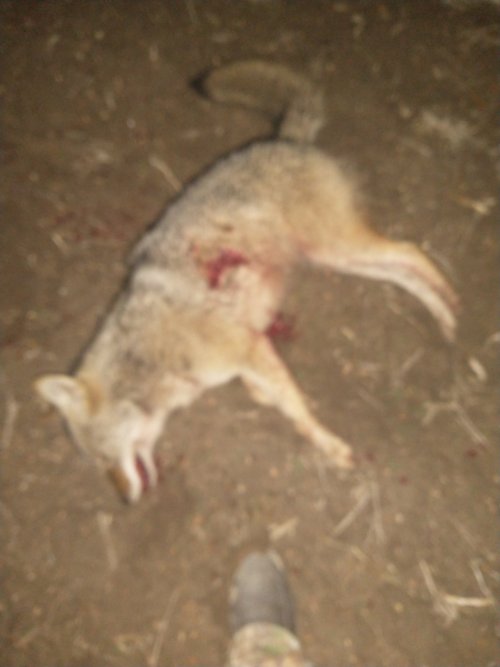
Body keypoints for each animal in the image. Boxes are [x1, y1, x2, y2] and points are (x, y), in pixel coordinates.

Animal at [35, 61, 458, 503]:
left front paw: (329, 446)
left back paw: (450, 300)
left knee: (412, 250)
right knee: (404, 274)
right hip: (335, 256)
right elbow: (270, 392)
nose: (125, 501)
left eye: (103, 459)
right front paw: (270, 401)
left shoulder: (250, 349)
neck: (153, 354)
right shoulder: (255, 350)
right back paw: (446, 318)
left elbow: (296, 409)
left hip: (339, 245)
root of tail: (283, 141)